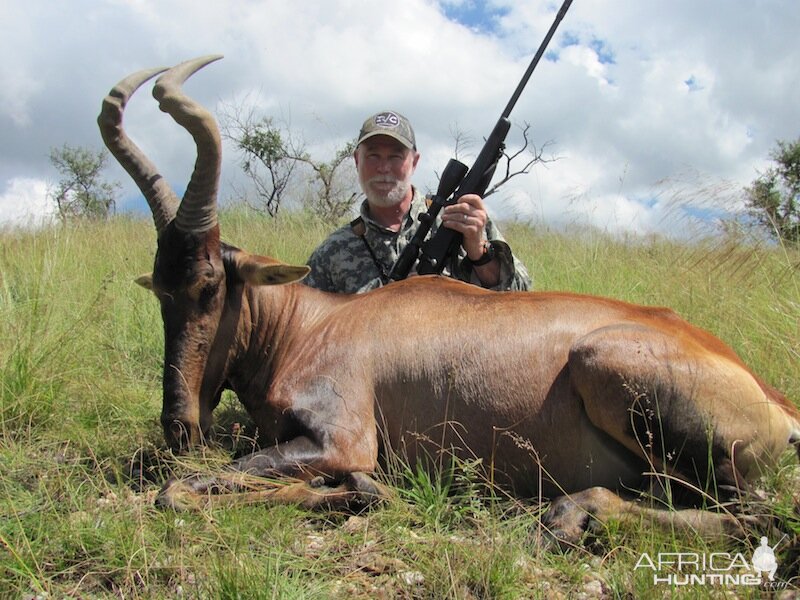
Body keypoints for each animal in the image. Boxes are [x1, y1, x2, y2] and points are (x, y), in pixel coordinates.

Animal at [100, 56, 800, 544]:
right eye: (162, 289)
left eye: (210, 285)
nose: (179, 426)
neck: (318, 323)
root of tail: (777, 402)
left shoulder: (339, 441)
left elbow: (180, 491)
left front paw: (363, 492)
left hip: (621, 379)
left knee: (756, 517)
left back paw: (572, 515)